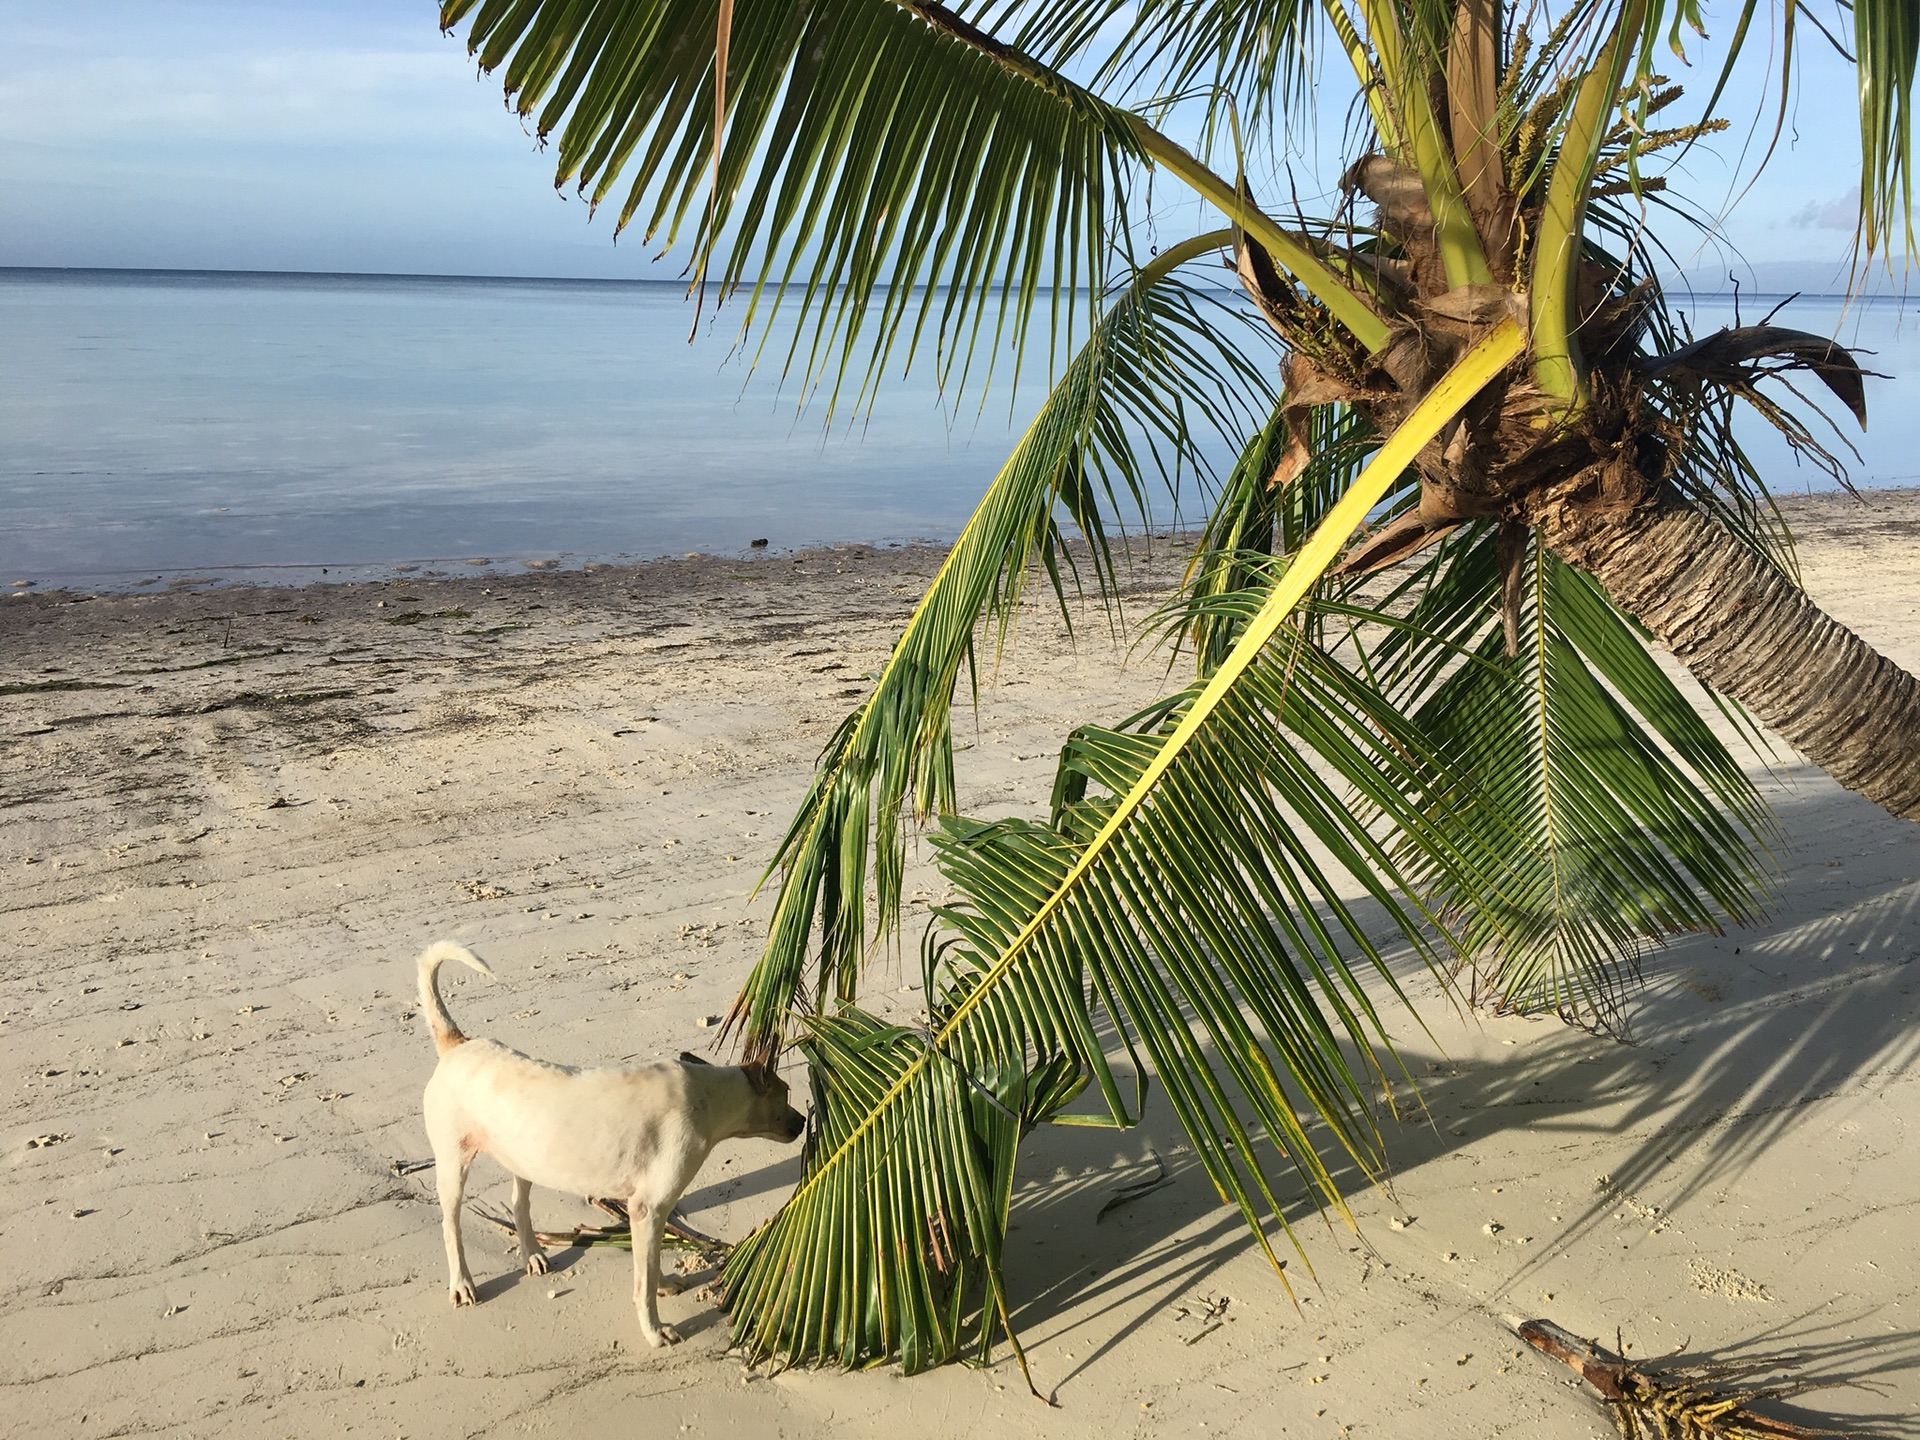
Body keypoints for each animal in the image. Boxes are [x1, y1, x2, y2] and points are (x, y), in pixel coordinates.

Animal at [416, 940, 806, 1351]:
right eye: (785, 1093)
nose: (803, 1122)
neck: (708, 1096)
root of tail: (458, 1045)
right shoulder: (647, 1208)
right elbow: (643, 1283)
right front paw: (654, 1330)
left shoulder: (649, 1213)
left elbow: (650, 1265)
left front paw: (664, 1285)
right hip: (453, 1165)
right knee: (451, 1225)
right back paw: (462, 1283)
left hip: (524, 1157)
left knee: (519, 1206)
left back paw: (534, 1253)